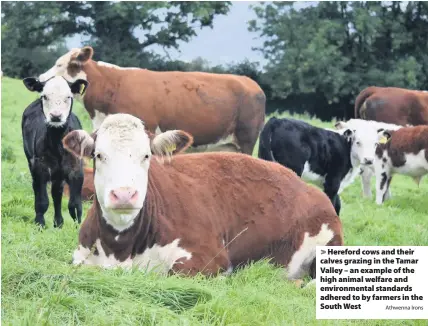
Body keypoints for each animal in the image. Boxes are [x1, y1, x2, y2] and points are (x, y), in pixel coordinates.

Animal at [22, 76, 88, 228]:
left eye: (68, 96)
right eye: (45, 96)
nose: (56, 116)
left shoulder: (77, 170)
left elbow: (75, 204)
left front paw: (78, 227)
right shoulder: (40, 168)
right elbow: (42, 202)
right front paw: (39, 225)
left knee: (57, 193)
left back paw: (58, 223)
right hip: (32, 163)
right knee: (39, 190)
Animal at [61, 112, 342, 286]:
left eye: (146, 156)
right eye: (98, 155)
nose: (124, 194)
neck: (120, 248)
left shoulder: (207, 258)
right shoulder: (80, 257)